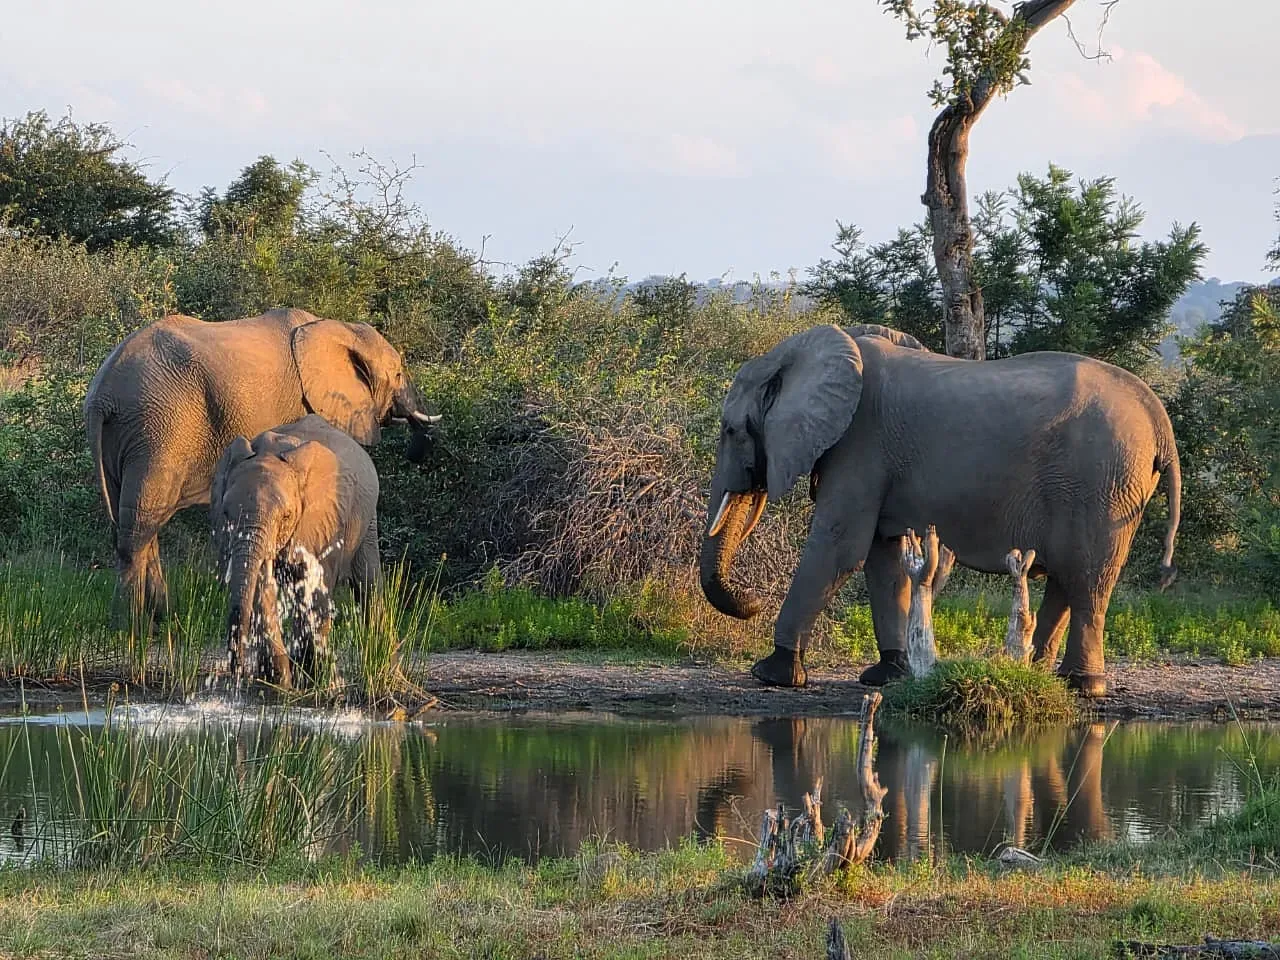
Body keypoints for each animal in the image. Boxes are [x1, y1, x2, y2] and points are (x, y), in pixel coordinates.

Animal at [84, 308, 439, 621]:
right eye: (398, 374)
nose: (415, 453)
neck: (339, 328)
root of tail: (102, 394)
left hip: (129, 436)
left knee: (140, 521)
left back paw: (162, 618)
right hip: (159, 428)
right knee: (139, 528)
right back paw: (129, 628)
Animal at [211, 414, 381, 688]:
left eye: (286, 516)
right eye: (226, 513)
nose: (237, 673)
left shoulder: (324, 521)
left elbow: (315, 590)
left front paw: (314, 681)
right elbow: (261, 588)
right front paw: (279, 683)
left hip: (366, 517)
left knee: (368, 582)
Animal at [699, 323, 1181, 698]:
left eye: (731, 430)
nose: (752, 599)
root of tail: (1159, 419)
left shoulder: (861, 445)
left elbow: (839, 548)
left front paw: (771, 674)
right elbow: (884, 558)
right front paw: (886, 676)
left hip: (1102, 481)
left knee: (1087, 578)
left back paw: (1083, 686)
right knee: (1070, 578)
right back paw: (1046, 675)